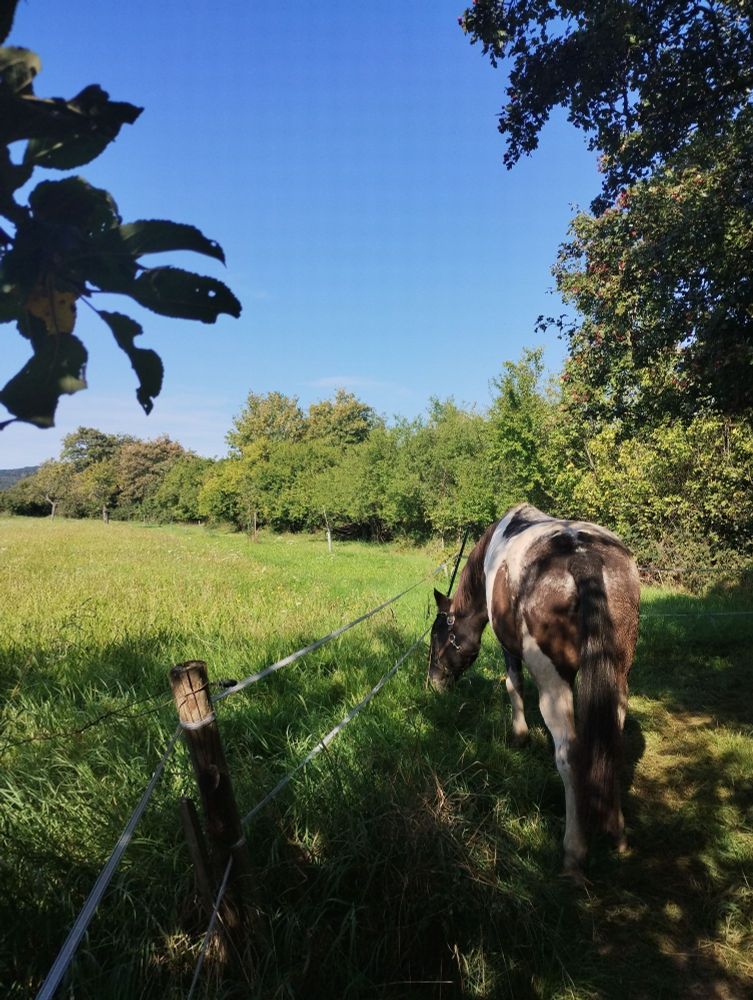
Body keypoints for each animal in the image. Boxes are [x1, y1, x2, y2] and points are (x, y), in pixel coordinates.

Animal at [428, 504, 640, 875]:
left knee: (570, 754)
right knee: (609, 744)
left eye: (437, 634)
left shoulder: (509, 649)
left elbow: (513, 685)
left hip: (553, 682)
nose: (433, 681)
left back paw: (574, 852)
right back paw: (617, 834)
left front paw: (519, 736)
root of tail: (583, 559)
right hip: (617, 675)